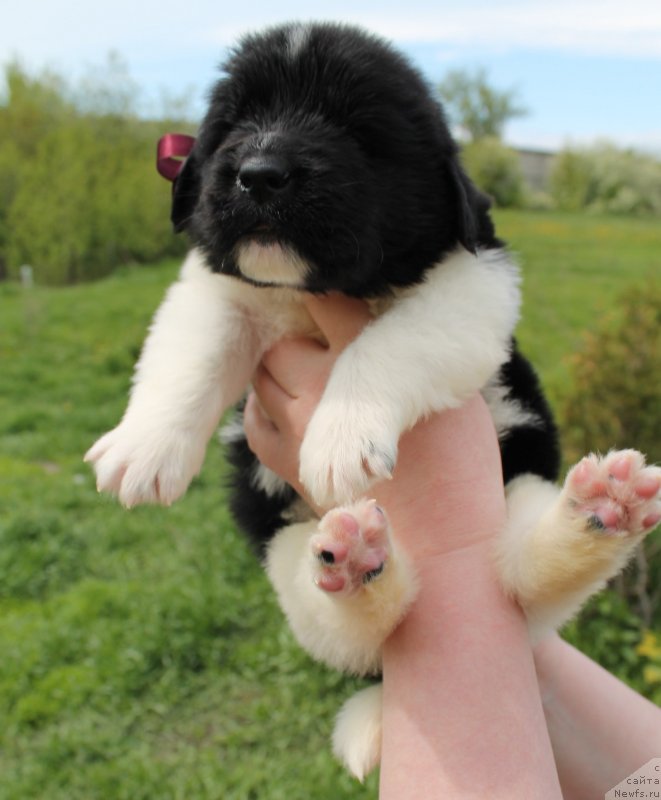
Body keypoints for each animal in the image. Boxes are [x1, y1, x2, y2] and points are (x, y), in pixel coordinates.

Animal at [85, 21, 656, 780]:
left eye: (356, 131)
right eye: (234, 123)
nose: (258, 172)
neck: (315, 292)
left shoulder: (471, 288)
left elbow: (384, 345)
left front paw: (339, 436)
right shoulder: (217, 289)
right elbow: (189, 352)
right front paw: (142, 448)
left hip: (517, 482)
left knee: (520, 589)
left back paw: (599, 512)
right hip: (285, 548)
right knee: (357, 627)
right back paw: (359, 569)